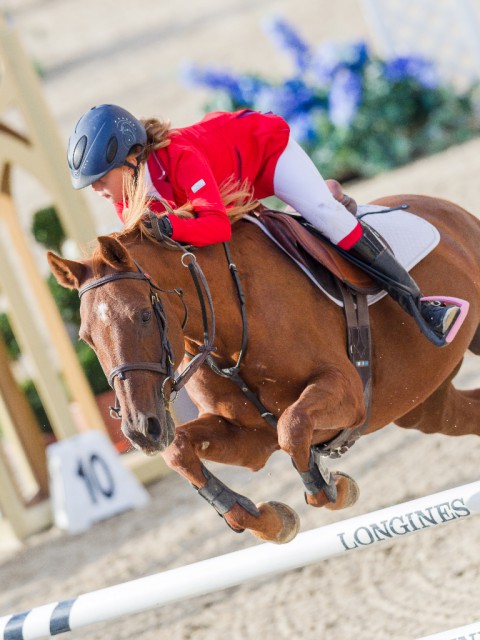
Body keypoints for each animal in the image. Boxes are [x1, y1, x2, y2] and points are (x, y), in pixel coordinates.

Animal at [47, 192, 480, 544]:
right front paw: (266, 520)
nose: (140, 429)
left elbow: (293, 427)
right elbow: (180, 452)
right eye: (86, 337)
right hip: (426, 406)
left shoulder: (347, 391)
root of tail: (446, 208)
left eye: (141, 315)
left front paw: (331, 488)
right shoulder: (250, 438)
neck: (230, 322)